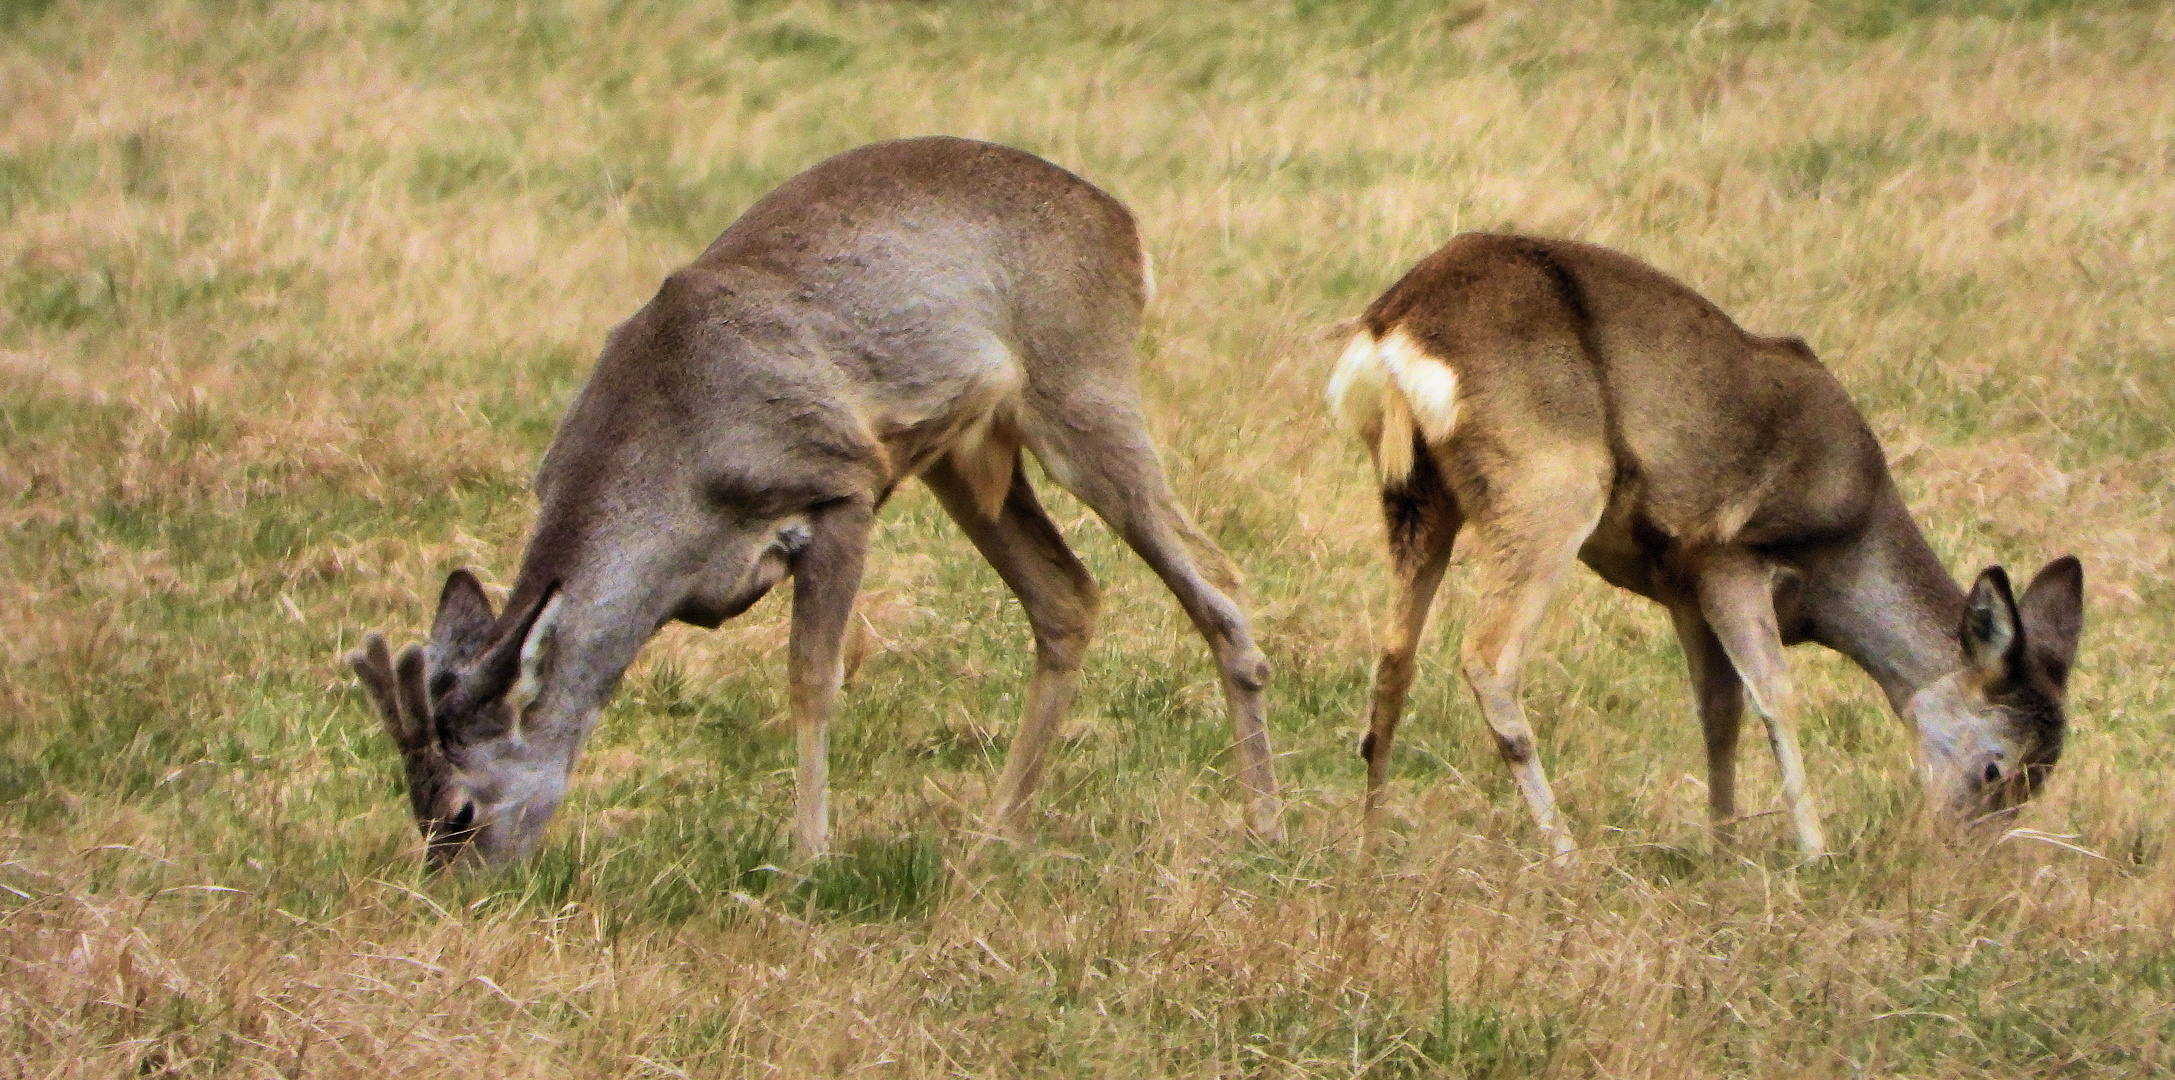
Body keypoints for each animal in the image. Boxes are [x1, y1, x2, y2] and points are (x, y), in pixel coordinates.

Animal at [348, 139, 1278, 873]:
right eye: (412, 807)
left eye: (461, 810)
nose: (454, 891)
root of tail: (1124, 225)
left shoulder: (838, 486)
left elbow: (811, 679)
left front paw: (805, 860)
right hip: (961, 459)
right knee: (1068, 596)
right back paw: (992, 835)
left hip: (1081, 385)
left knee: (1218, 578)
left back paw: (1263, 829)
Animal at [1322, 231, 2088, 856]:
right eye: (1995, 767)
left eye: (2039, 782)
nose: (1959, 858)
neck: (1846, 545)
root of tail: (1390, 330)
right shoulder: (1725, 552)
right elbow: (1775, 694)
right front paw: (1812, 853)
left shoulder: (1678, 585)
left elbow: (1718, 712)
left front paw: (1722, 850)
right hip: (1548, 484)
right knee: (1486, 656)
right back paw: (1565, 855)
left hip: (1418, 496)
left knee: (1394, 659)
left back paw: (1370, 844)